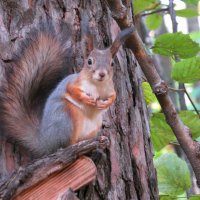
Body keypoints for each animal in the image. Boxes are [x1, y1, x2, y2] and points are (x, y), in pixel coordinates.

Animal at [0, 20, 134, 158]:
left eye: (112, 63)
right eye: (89, 61)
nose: (102, 74)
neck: (98, 85)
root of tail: (45, 142)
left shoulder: (110, 89)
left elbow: (113, 97)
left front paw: (106, 103)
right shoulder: (73, 83)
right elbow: (72, 90)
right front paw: (86, 99)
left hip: (94, 125)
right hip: (68, 117)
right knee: (65, 145)